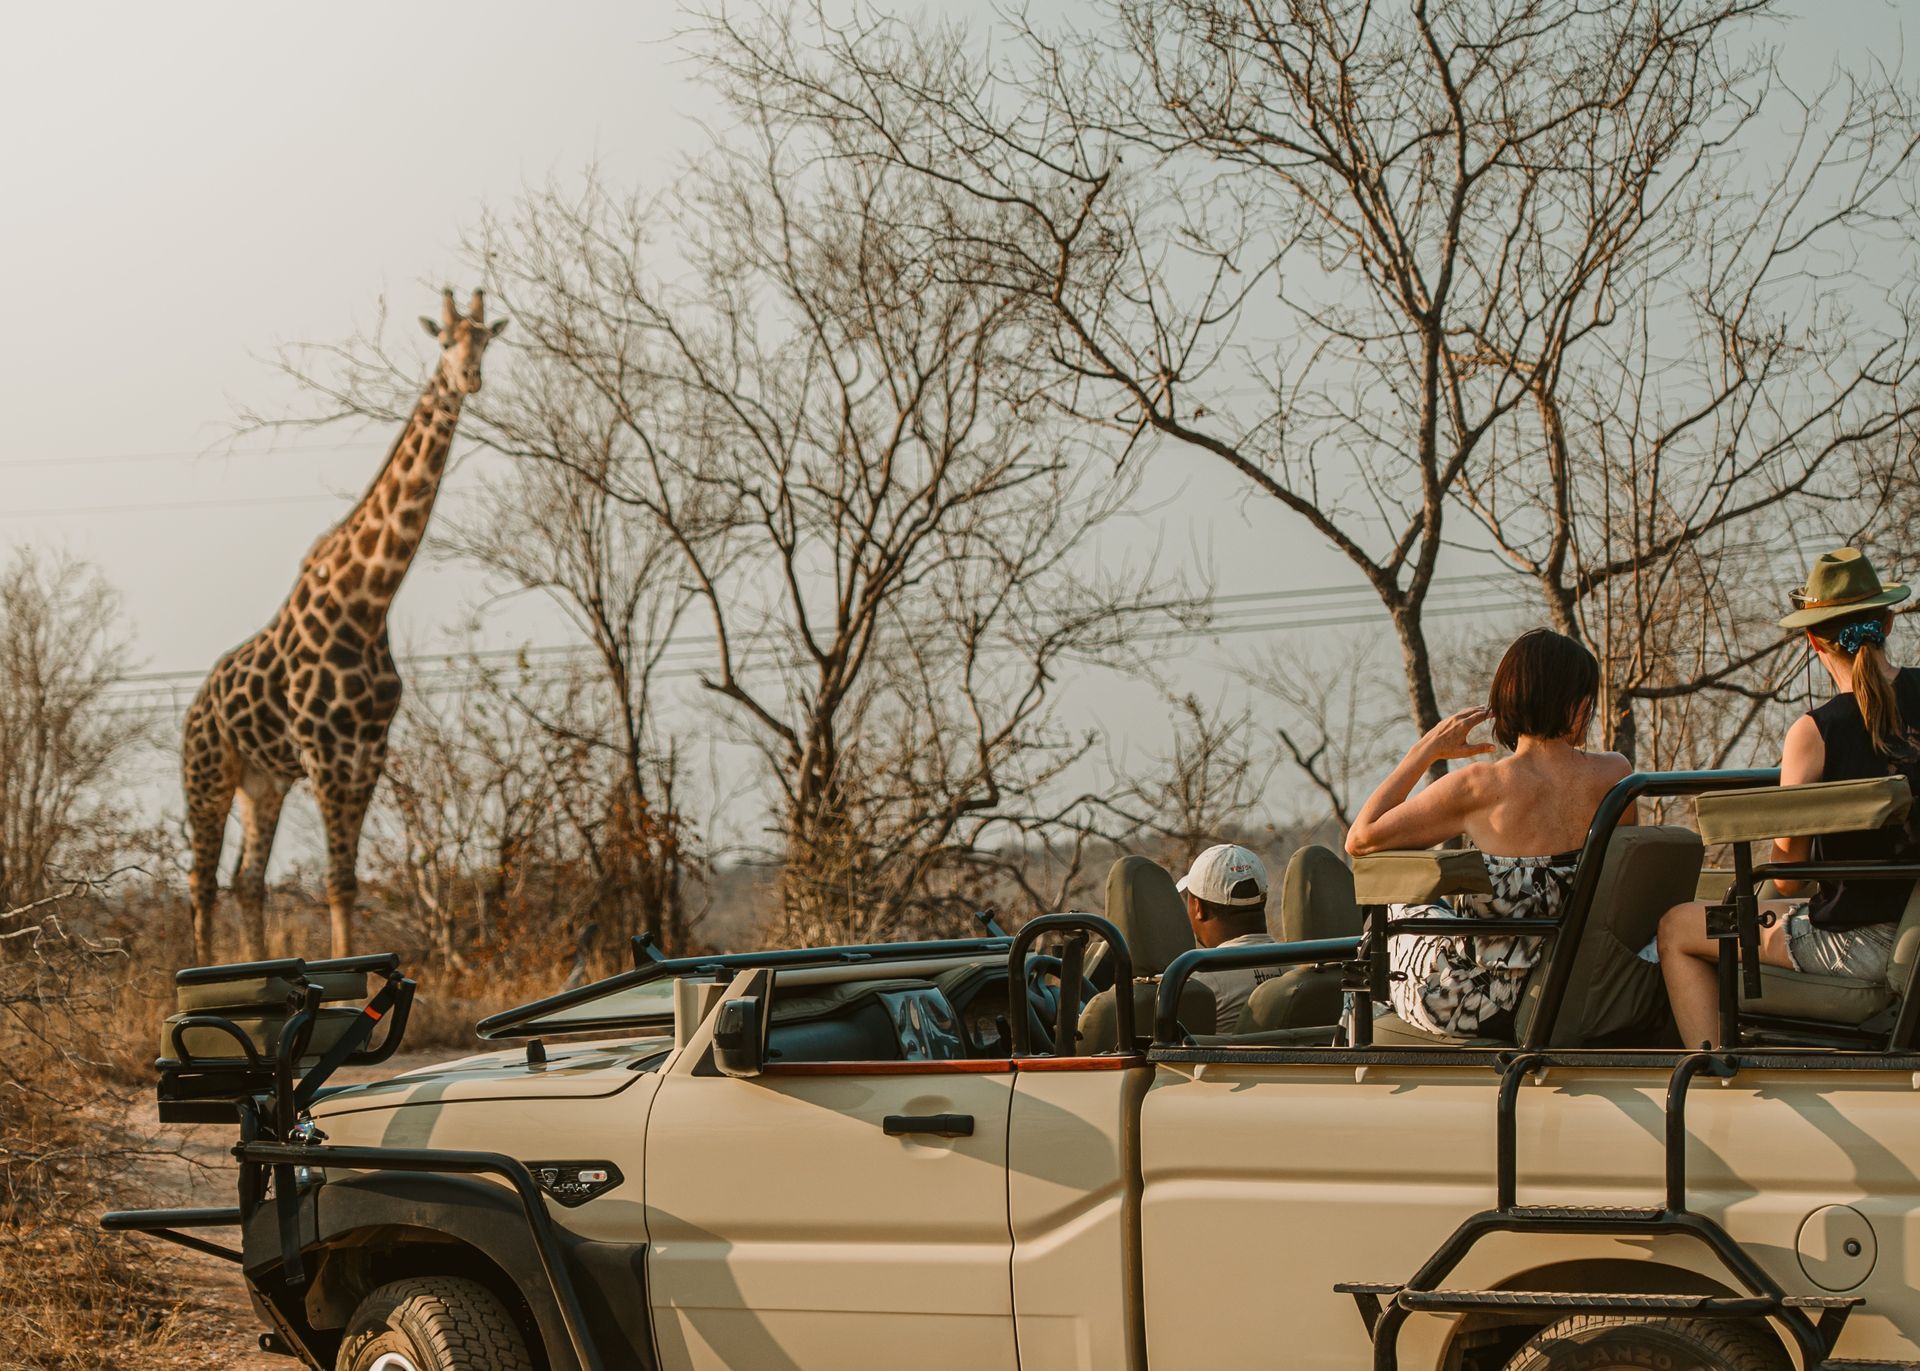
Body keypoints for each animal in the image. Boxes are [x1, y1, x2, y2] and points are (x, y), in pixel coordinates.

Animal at [181, 288, 506, 962]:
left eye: (486, 339)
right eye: (445, 341)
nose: (468, 377)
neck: (369, 601)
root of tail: (192, 710)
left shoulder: (367, 752)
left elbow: (349, 883)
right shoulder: (326, 754)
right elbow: (334, 882)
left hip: (262, 781)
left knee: (245, 881)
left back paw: (252, 967)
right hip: (207, 772)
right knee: (200, 880)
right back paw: (199, 971)